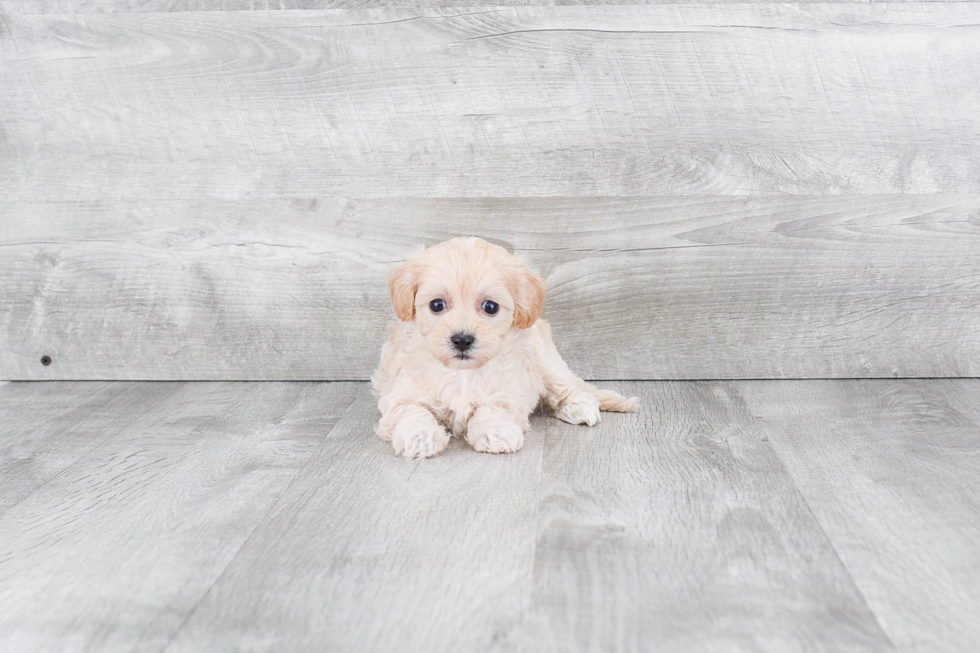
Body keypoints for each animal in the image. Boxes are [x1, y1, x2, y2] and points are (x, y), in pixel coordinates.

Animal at [372, 236, 640, 458]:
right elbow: (413, 412)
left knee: (569, 386)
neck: (462, 374)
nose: (462, 339)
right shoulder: (402, 394)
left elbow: (493, 410)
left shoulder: (507, 391)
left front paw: (496, 433)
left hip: (547, 361)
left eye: (490, 307)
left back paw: (579, 407)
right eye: (437, 305)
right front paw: (420, 437)